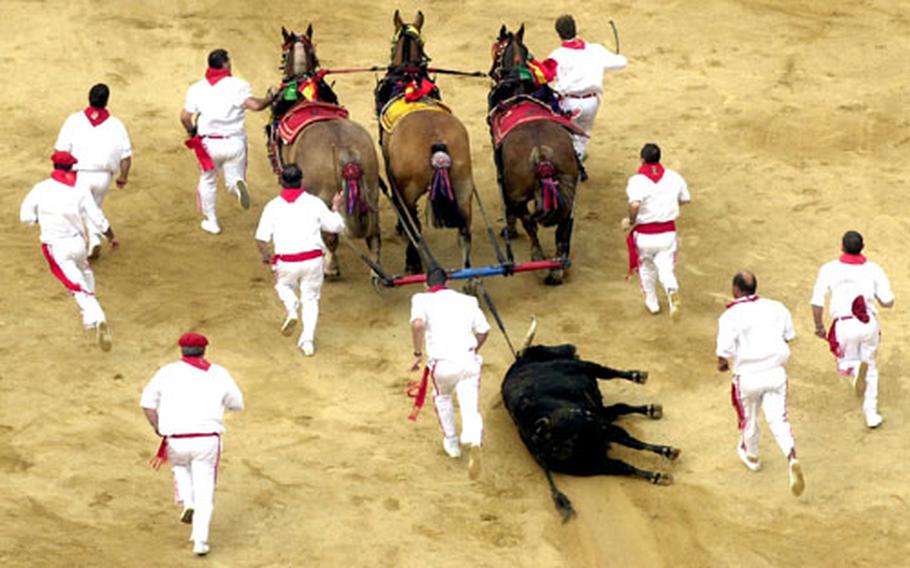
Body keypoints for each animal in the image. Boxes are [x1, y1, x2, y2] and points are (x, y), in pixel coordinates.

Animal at [276, 25, 380, 278]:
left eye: (283, 54)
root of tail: (345, 148)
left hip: (324, 198)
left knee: (331, 237)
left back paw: (331, 268)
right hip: (371, 191)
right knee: (373, 233)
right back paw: (375, 271)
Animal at [378, 10, 478, 274]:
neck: (408, 78)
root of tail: (438, 145)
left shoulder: (393, 173)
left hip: (412, 190)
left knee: (415, 225)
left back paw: (413, 260)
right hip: (463, 188)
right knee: (465, 232)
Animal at [492, 26, 576, 284]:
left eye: (496, 48)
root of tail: (540, 154)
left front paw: (509, 229)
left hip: (518, 196)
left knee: (529, 223)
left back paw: (539, 260)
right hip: (568, 190)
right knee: (563, 226)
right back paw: (558, 266)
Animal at [502, 320, 680, 520]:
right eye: (541, 347)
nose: (571, 346)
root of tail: (539, 437)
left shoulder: (601, 410)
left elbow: (621, 406)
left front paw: (650, 408)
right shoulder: (586, 371)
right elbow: (610, 375)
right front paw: (638, 376)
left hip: (591, 464)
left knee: (622, 466)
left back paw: (657, 475)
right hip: (597, 428)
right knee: (630, 442)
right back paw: (667, 452)